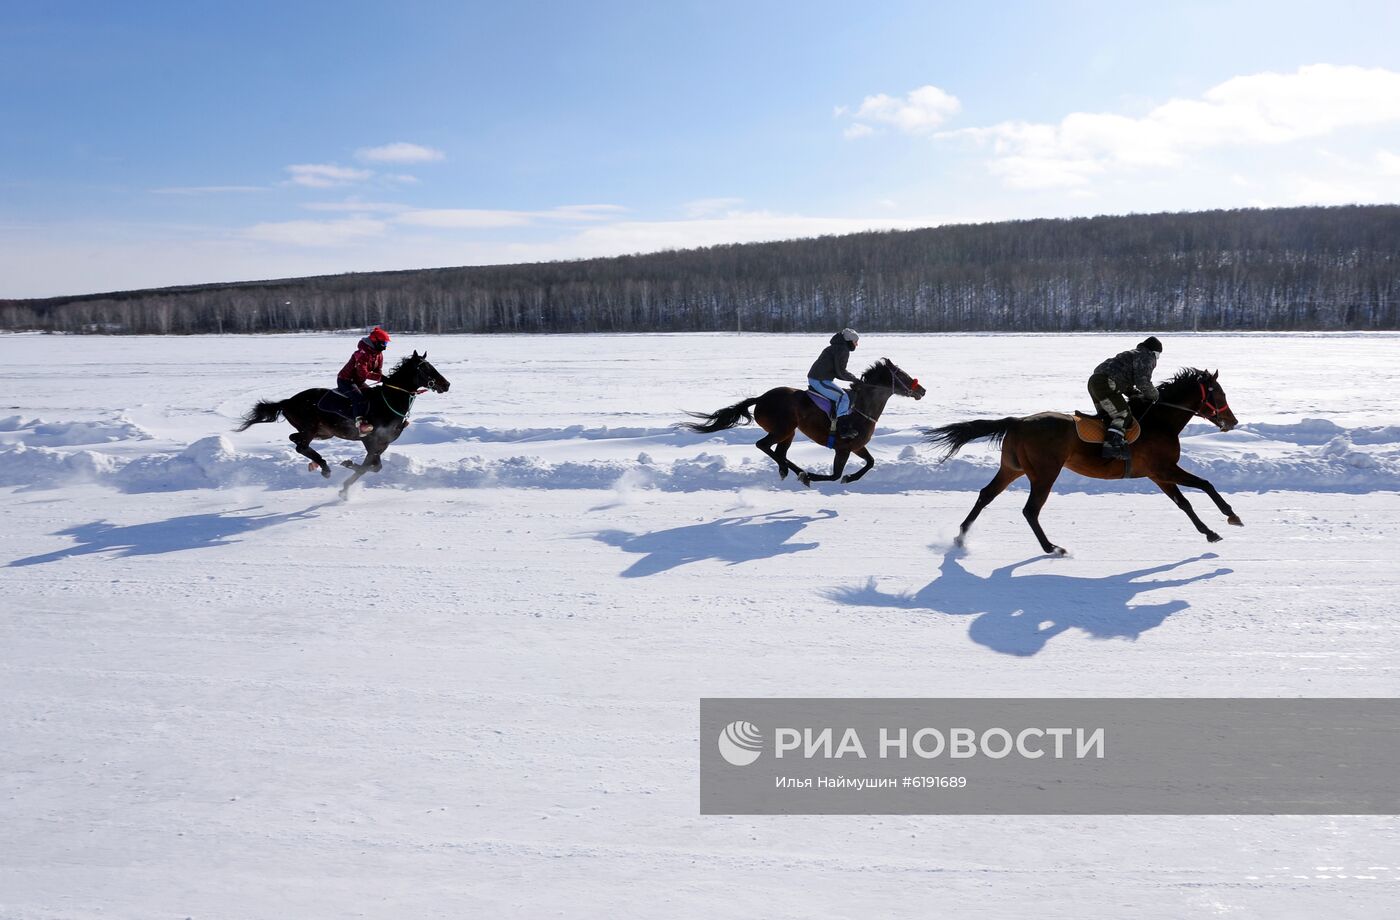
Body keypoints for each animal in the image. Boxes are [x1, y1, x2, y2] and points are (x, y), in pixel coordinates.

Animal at [236, 350, 448, 495]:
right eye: (426, 368)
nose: (446, 384)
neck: (389, 400)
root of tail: (287, 401)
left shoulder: (383, 443)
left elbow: (374, 466)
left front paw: (346, 476)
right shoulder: (370, 439)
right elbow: (368, 466)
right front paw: (346, 474)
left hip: (321, 432)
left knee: (295, 438)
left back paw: (316, 465)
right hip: (310, 428)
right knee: (300, 446)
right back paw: (324, 467)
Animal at [680, 358, 924, 487]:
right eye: (902, 374)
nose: (922, 390)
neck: (862, 409)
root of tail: (761, 398)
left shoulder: (857, 446)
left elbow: (870, 462)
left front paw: (849, 478)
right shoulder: (843, 447)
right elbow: (835, 474)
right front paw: (816, 476)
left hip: (789, 432)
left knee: (779, 451)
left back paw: (788, 469)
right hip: (783, 428)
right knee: (763, 445)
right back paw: (796, 472)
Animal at [924, 366, 1243, 551]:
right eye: (1219, 394)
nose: (1233, 421)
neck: (1160, 421)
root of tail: (1017, 422)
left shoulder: (1158, 475)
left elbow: (1184, 503)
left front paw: (1209, 532)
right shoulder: (1164, 469)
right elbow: (1205, 484)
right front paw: (1232, 515)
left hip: (1012, 468)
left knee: (985, 495)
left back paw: (960, 537)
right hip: (1045, 473)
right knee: (1030, 510)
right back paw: (1051, 548)